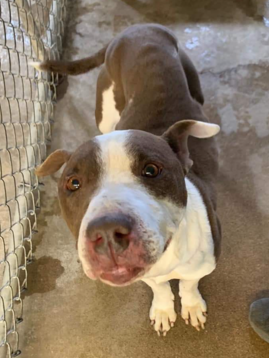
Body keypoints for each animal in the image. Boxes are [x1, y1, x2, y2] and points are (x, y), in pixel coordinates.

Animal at [33, 24, 220, 336]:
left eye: (151, 170)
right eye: (73, 183)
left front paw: (192, 305)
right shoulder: (149, 275)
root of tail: (137, 28)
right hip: (106, 112)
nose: (107, 233)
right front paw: (164, 309)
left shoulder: (204, 263)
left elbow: (189, 283)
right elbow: (160, 288)